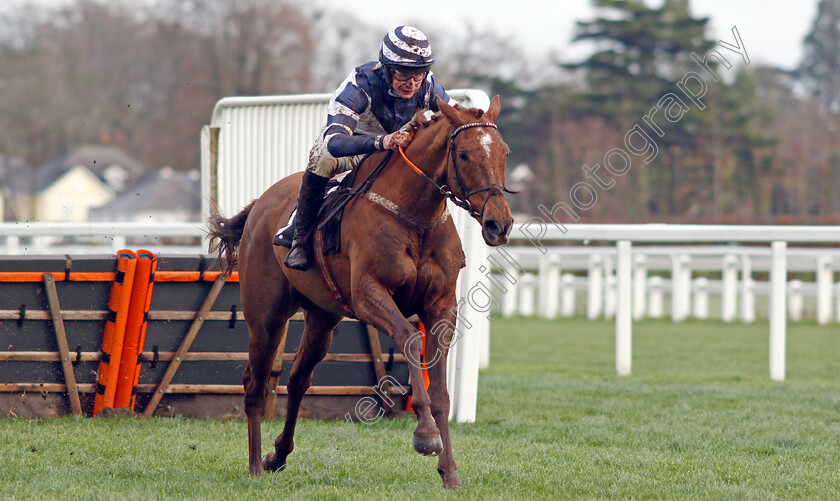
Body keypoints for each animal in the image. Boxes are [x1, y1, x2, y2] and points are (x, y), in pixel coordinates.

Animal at [207, 94, 516, 488]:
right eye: (463, 154)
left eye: (503, 152)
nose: (499, 224)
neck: (416, 217)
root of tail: (261, 203)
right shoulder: (370, 294)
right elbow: (408, 339)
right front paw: (425, 434)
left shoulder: (442, 306)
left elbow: (442, 393)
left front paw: (449, 472)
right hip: (266, 315)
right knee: (255, 382)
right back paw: (255, 465)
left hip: (322, 317)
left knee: (298, 379)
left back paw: (277, 455)